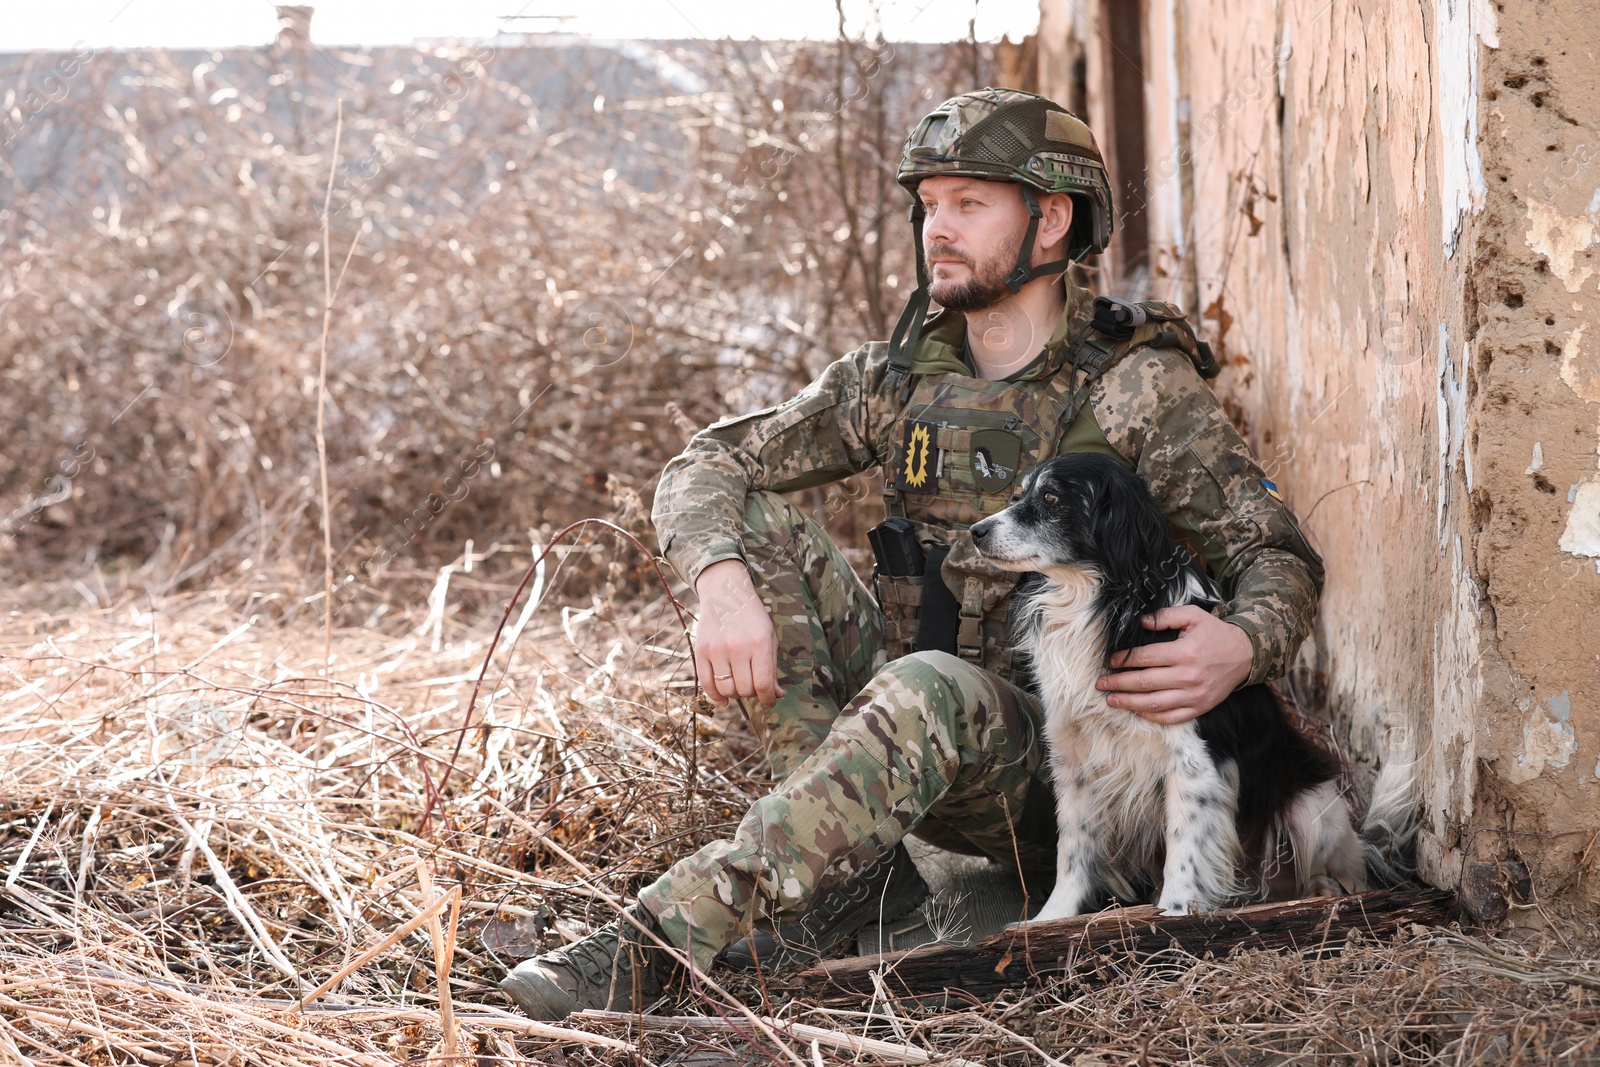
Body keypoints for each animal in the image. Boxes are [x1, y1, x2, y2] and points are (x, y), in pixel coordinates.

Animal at [966, 451, 1408, 921]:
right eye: (1020, 494)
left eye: (1050, 497)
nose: (976, 531)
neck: (1098, 601)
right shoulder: (1073, 758)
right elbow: (1073, 851)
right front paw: (1052, 919)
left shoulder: (1193, 762)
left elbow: (1186, 851)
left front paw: (1175, 915)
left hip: (1312, 806)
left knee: (1344, 868)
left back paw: (1327, 890)